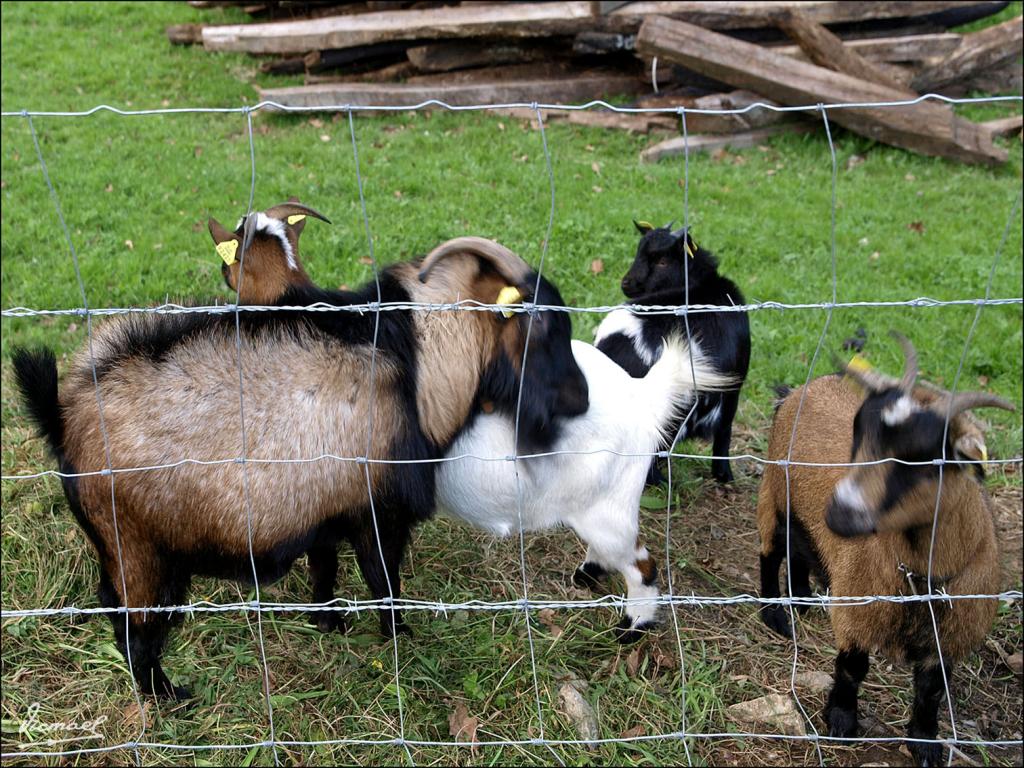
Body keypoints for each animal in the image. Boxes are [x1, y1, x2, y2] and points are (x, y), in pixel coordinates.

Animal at [12, 205, 589, 704]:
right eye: (542, 325)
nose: (581, 399)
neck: (418, 358)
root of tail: (64, 415)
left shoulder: (326, 507)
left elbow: (325, 565)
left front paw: (329, 622)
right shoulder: (378, 513)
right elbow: (385, 583)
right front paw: (400, 641)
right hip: (141, 551)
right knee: (135, 633)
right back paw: (169, 698)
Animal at [757, 335, 1011, 768]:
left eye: (922, 456)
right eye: (859, 430)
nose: (839, 513)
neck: (920, 577)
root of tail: (798, 390)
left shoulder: (952, 633)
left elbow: (932, 690)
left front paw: (925, 744)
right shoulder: (859, 607)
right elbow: (852, 667)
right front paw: (841, 721)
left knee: (801, 549)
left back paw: (802, 597)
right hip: (773, 491)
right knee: (770, 552)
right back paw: (774, 613)